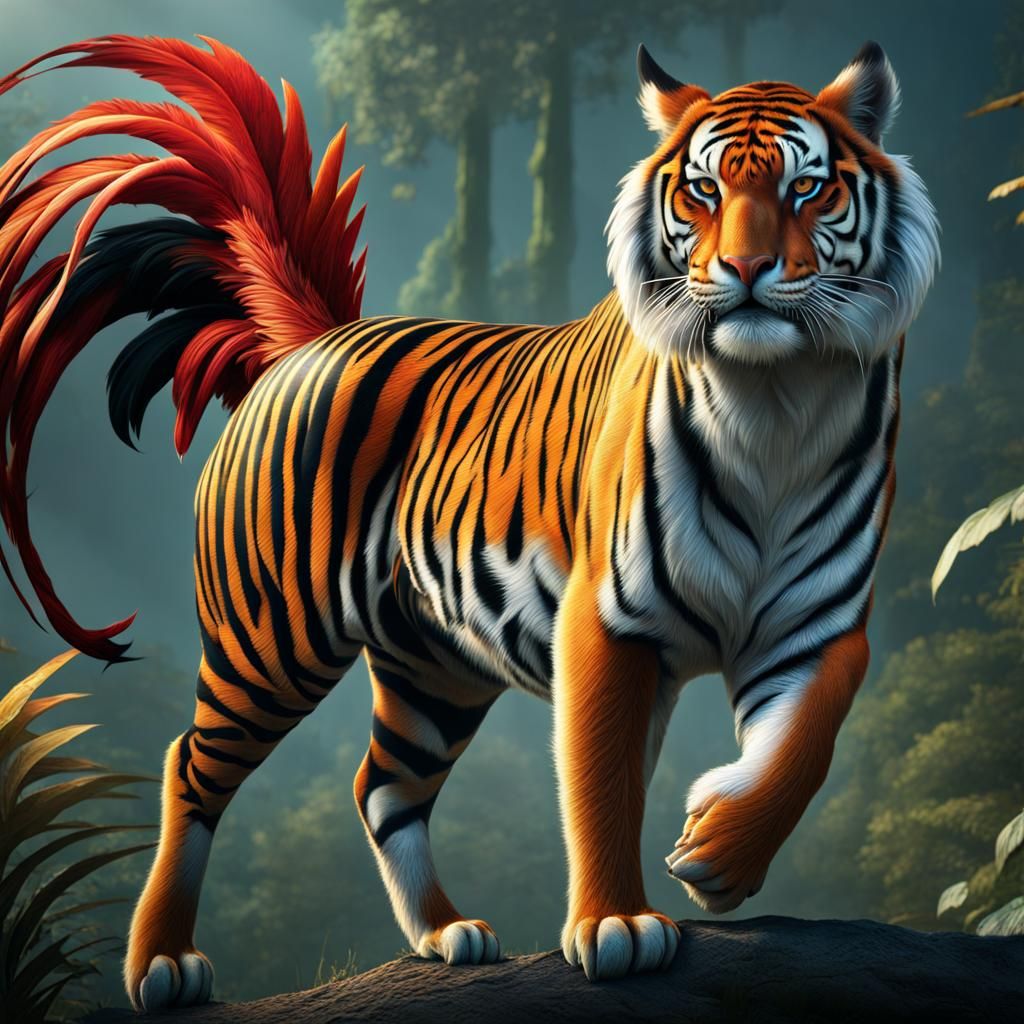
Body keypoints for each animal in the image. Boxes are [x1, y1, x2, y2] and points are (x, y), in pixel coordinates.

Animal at [0, 35, 938, 1009]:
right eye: (703, 191)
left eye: (807, 187)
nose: (747, 272)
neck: (774, 403)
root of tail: (307, 340)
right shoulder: (607, 622)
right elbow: (602, 782)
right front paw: (616, 922)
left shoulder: (819, 627)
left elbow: (803, 747)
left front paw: (717, 845)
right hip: (273, 639)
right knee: (190, 763)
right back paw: (162, 964)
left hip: (434, 671)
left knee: (383, 785)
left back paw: (446, 933)